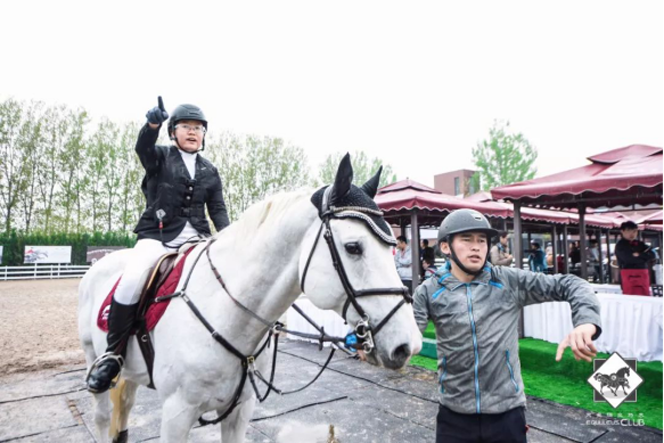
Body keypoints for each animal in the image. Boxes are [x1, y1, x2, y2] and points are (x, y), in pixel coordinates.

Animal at [78, 154, 420, 442]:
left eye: (392, 247)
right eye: (353, 247)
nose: (409, 345)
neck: (229, 315)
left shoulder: (240, 410)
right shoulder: (177, 413)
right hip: (93, 359)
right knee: (101, 416)